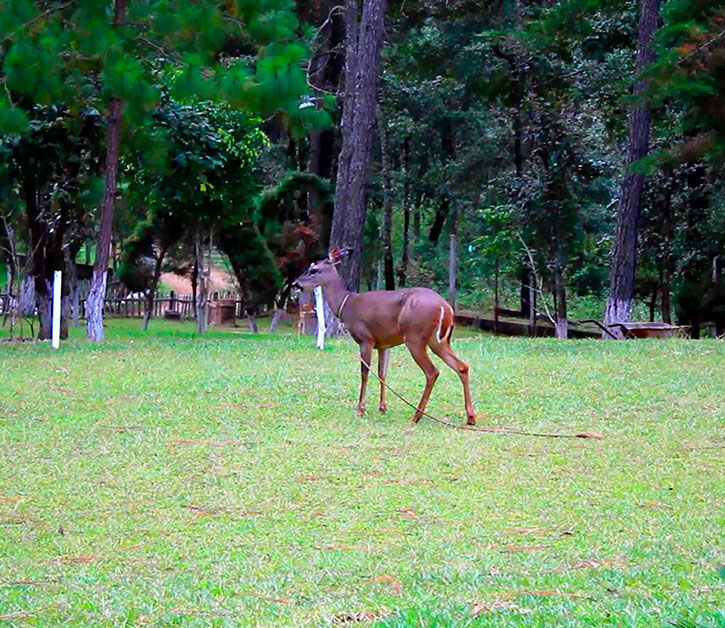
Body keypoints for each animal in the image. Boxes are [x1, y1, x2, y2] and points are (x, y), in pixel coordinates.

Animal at [292, 247, 476, 425]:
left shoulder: (366, 339)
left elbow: (365, 373)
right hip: (439, 341)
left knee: (432, 372)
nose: (295, 284)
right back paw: (470, 417)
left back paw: (417, 416)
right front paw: (382, 407)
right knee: (462, 366)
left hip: (415, 337)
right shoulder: (383, 344)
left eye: (314, 270)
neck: (346, 305)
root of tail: (446, 307)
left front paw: (361, 409)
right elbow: (382, 373)